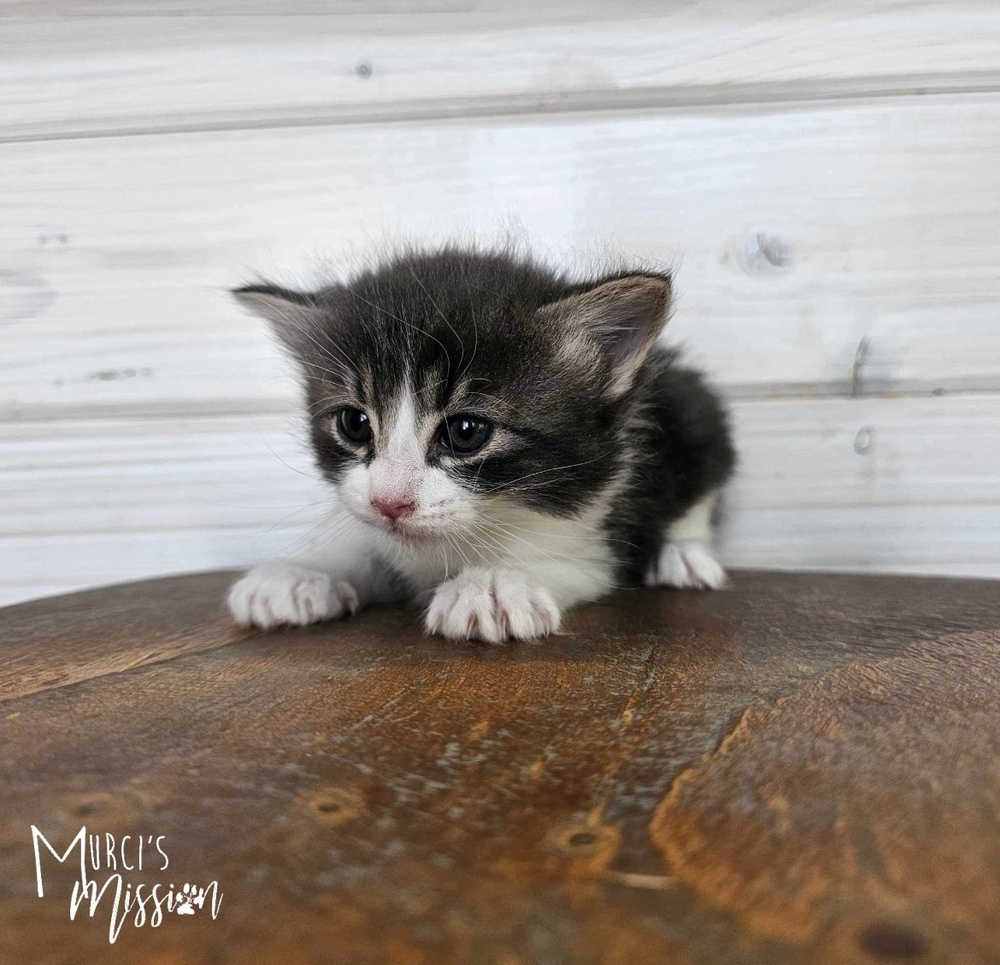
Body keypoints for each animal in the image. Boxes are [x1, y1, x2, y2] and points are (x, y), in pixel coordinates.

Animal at [230, 245, 740, 644]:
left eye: (465, 432)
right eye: (354, 424)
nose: (390, 502)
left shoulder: (602, 521)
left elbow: (568, 557)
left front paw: (494, 583)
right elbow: (365, 542)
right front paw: (300, 572)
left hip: (692, 410)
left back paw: (683, 556)